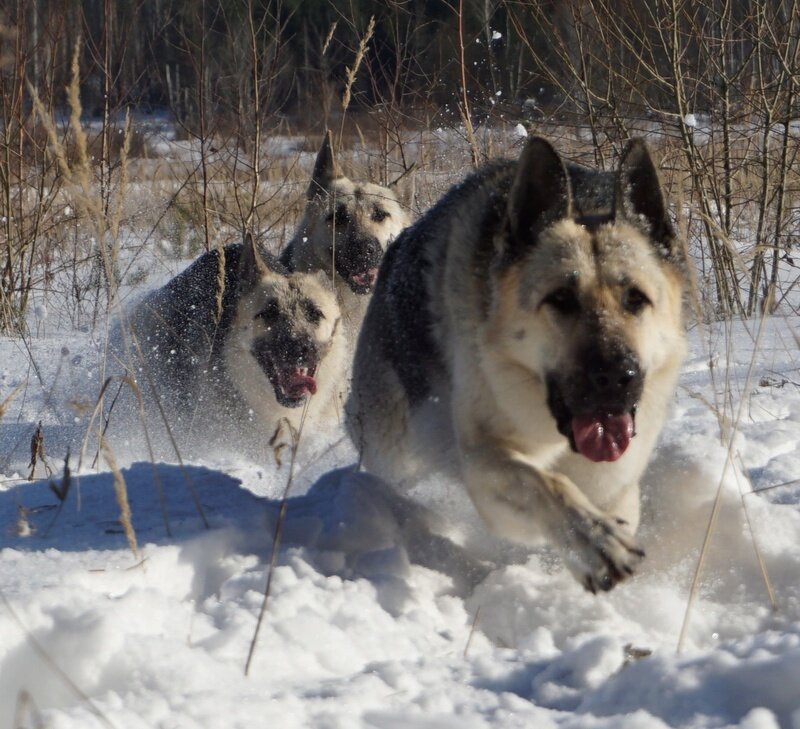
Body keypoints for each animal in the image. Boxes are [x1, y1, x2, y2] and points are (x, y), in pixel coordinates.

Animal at [346, 135, 692, 592]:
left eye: (636, 298)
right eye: (561, 299)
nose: (617, 378)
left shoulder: (615, 484)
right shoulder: (483, 465)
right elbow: (546, 483)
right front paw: (593, 542)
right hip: (393, 445)